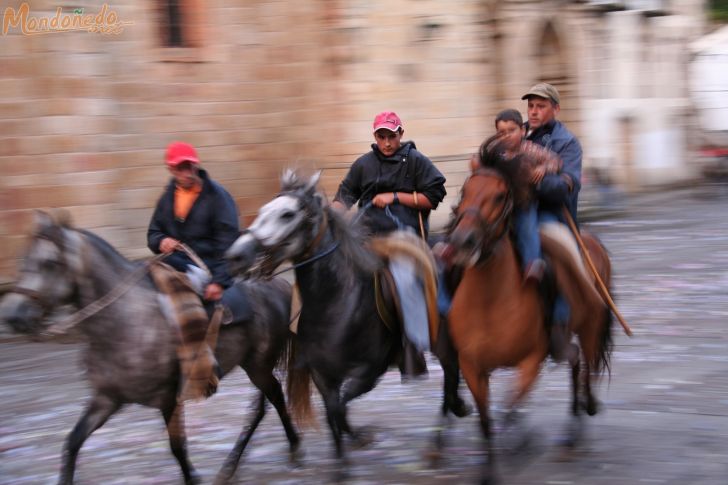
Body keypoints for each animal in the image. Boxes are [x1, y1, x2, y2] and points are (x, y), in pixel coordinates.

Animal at [0, 212, 298, 484]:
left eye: (49, 263)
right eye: (25, 258)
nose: (13, 316)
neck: (128, 322)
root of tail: (277, 284)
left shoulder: (169, 398)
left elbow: (178, 448)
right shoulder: (106, 399)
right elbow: (72, 442)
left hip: (258, 366)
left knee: (274, 398)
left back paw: (293, 448)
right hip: (253, 365)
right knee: (262, 407)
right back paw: (232, 465)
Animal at [225, 170, 470, 472]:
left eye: (287, 214)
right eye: (261, 211)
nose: (237, 255)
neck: (337, 303)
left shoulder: (369, 372)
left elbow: (340, 410)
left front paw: (359, 440)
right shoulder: (322, 376)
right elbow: (334, 414)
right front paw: (348, 450)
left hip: (443, 341)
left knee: (451, 375)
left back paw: (442, 436)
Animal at [444, 165, 616, 480]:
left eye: (500, 196)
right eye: (466, 190)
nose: (462, 241)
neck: (489, 299)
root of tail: (590, 240)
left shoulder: (531, 360)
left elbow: (509, 408)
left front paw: (521, 444)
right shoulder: (472, 366)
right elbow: (486, 421)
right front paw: (489, 472)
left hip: (590, 326)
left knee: (587, 367)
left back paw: (586, 411)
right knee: (574, 361)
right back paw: (571, 431)